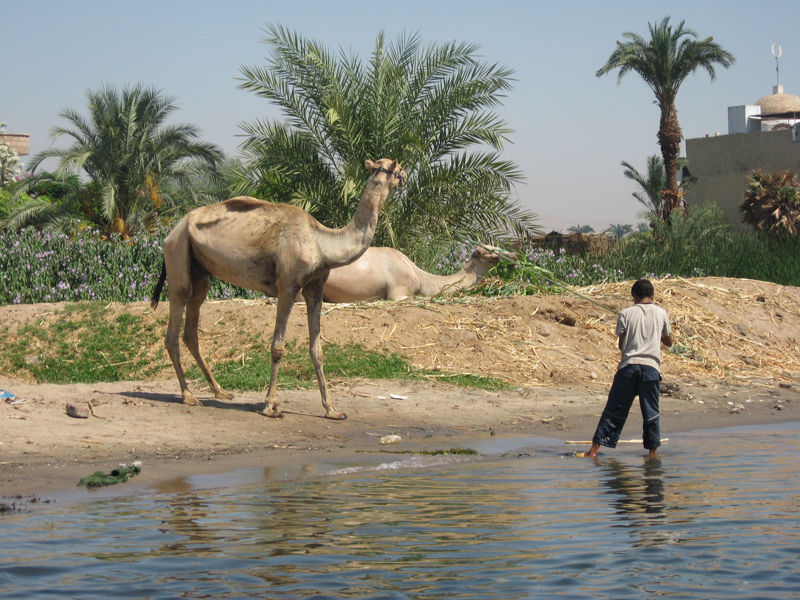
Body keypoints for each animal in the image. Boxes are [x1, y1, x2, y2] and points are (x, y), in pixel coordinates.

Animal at [152, 161, 406, 422]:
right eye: (396, 169)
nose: (406, 177)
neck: (322, 243)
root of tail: (173, 229)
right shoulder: (288, 286)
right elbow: (278, 347)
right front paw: (271, 406)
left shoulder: (315, 286)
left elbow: (317, 349)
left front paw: (332, 410)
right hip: (177, 251)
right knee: (175, 321)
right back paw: (188, 396)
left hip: (200, 271)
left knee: (191, 327)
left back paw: (220, 391)